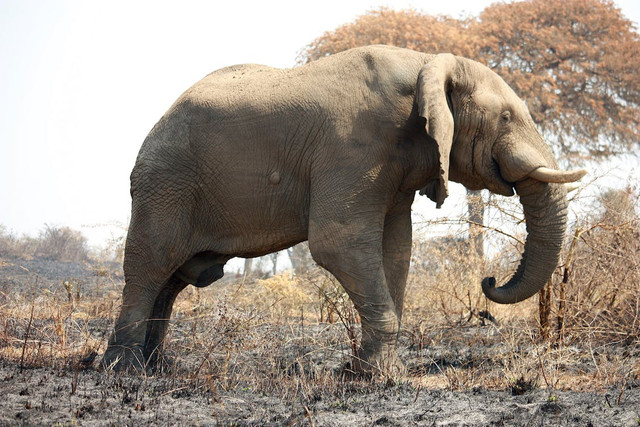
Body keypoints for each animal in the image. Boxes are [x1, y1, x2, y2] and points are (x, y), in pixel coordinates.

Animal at [102, 44, 588, 374]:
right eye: (506, 117)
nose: (488, 281)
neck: (427, 63)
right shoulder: (354, 146)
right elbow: (339, 243)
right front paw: (381, 377)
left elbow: (396, 249)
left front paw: (371, 371)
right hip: (165, 182)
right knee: (152, 264)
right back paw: (124, 371)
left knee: (173, 278)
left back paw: (156, 367)